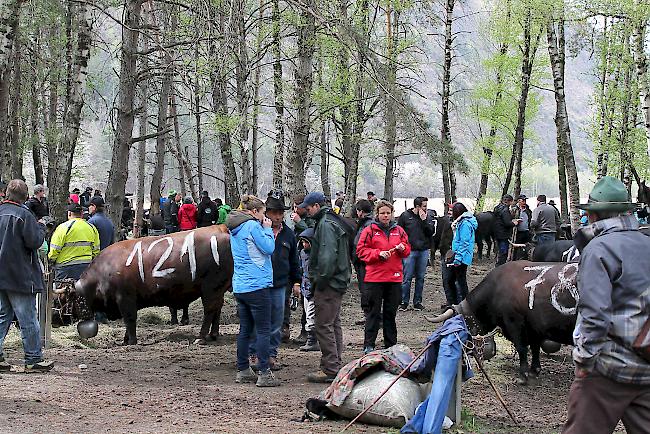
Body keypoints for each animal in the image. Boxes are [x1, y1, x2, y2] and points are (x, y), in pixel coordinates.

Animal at [74, 225, 232, 344]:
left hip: (211, 289)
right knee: (217, 309)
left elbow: (130, 320)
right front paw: (125, 340)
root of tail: (221, 229)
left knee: (210, 310)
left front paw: (131, 341)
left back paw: (201, 337)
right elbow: (127, 322)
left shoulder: (126, 298)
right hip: (218, 290)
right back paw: (213, 335)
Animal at [428, 258, 576, 384]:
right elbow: (535, 348)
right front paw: (534, 370)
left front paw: (523, 375)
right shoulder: (534, 328)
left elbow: (521, 348)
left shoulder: (514, 323)